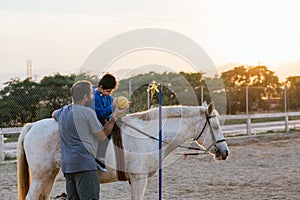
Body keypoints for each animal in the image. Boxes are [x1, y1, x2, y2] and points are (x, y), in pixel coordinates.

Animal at [17, 103, 230, 200]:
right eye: (216, 126)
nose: (225, 151)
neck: (150, 136)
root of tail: (32, 126)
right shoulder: (139, 178)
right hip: (40, 176)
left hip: (50, 175)